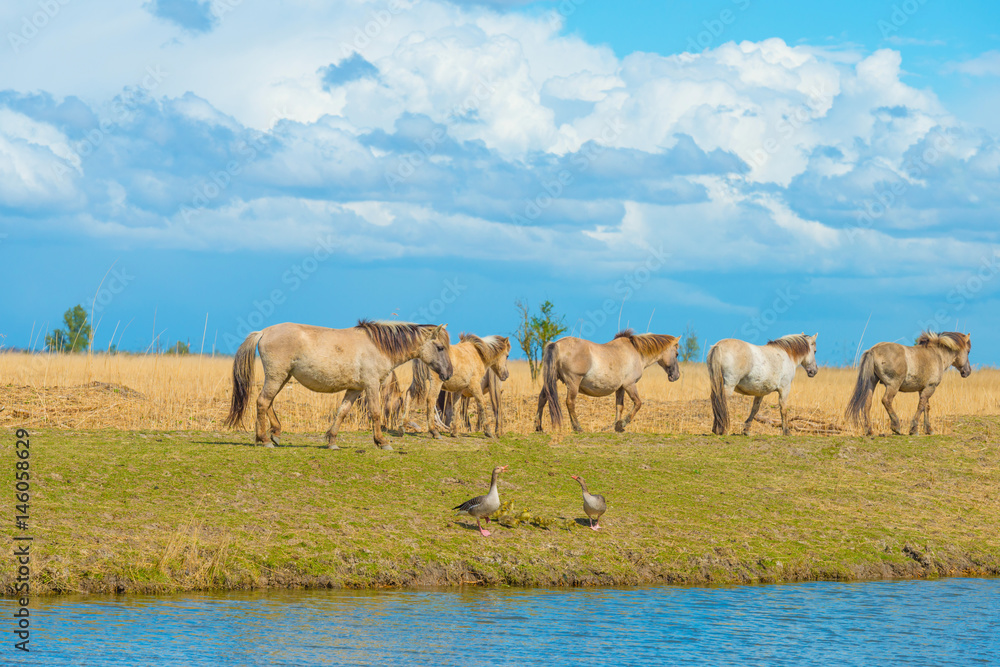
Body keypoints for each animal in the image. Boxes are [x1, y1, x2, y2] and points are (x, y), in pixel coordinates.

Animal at [225, 320, 452, 449]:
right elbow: (376, 413)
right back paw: (264, 439)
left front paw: (332, 441)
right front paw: (382, 442)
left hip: (283, 377)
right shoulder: (371, 385)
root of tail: (263, 332)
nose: (448, 373)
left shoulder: (354, 389)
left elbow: (342, 412)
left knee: (268, 403)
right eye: (440, 347)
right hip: (277, 376)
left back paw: (274, 435)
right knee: (263, 402)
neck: (377, 346)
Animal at [535, 329, 680, 433]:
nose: (676, 376)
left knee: (543, 398)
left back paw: (538, 427)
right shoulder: (630, 385)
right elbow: (638, 403)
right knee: (570, 402)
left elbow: (619, 406)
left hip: (552, 379)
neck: (636, 352)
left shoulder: (620, 388)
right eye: (677, 354)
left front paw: (617, 426)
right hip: (573, 382)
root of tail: (557, 344)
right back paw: (577, 427)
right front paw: (622, 424)